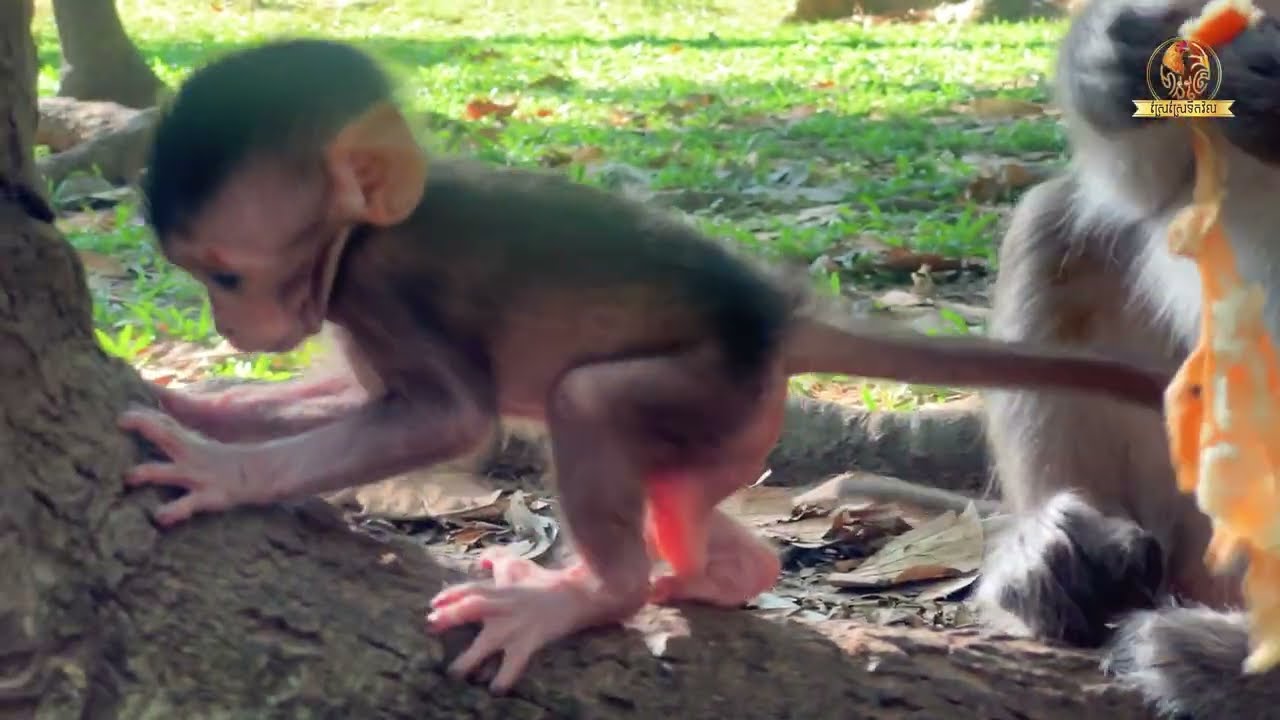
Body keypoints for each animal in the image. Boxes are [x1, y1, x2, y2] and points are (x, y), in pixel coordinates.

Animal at [117, 38, 1179, 695]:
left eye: (226, 273)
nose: (229, 324)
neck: (362, 237)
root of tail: (771, 316)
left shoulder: (384, 283)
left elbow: (447, 419)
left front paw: (221, 471)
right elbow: (351, 393)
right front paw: (206, 403)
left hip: (711, 386)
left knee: (584, 401)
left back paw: (598, 594)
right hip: (735, 421)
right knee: (698, 508)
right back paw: (714, 572)